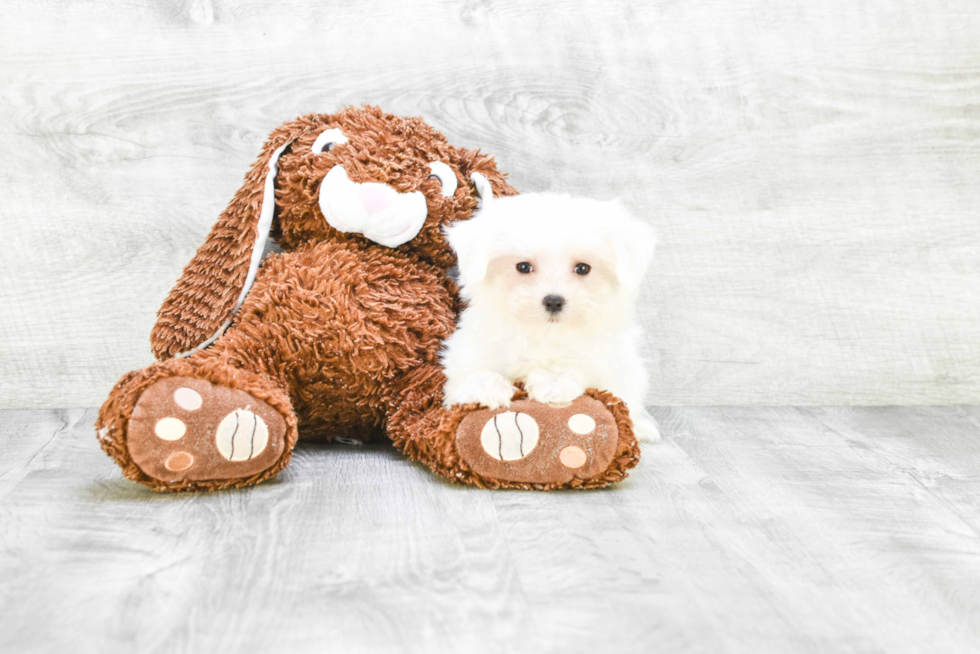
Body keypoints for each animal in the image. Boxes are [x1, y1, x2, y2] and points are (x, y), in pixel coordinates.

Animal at [442, 192, 660, 444]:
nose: (554, 301)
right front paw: (487, 388)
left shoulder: (602, 356)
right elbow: (470, 372)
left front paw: (554, 382)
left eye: (583, 268)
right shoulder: (471, 348)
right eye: (523, 267)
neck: (543, 332)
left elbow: (574, 363)